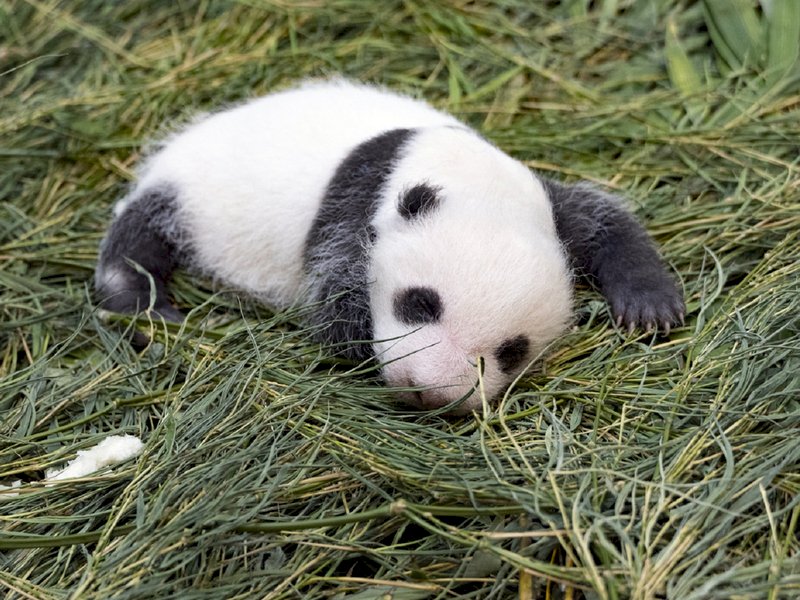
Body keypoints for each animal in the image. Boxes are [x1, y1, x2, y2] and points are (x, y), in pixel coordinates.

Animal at [95, 79, 685, 414]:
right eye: (420, 303)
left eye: (512, 351)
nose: (431, 390)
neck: (466, 179)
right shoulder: (356, 204)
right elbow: (334, 293)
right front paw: (356, 341)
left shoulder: (545, 206)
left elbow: (603, 219)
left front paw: (649, 306)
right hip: (190, 193)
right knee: (138, 240)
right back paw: (144, 308)